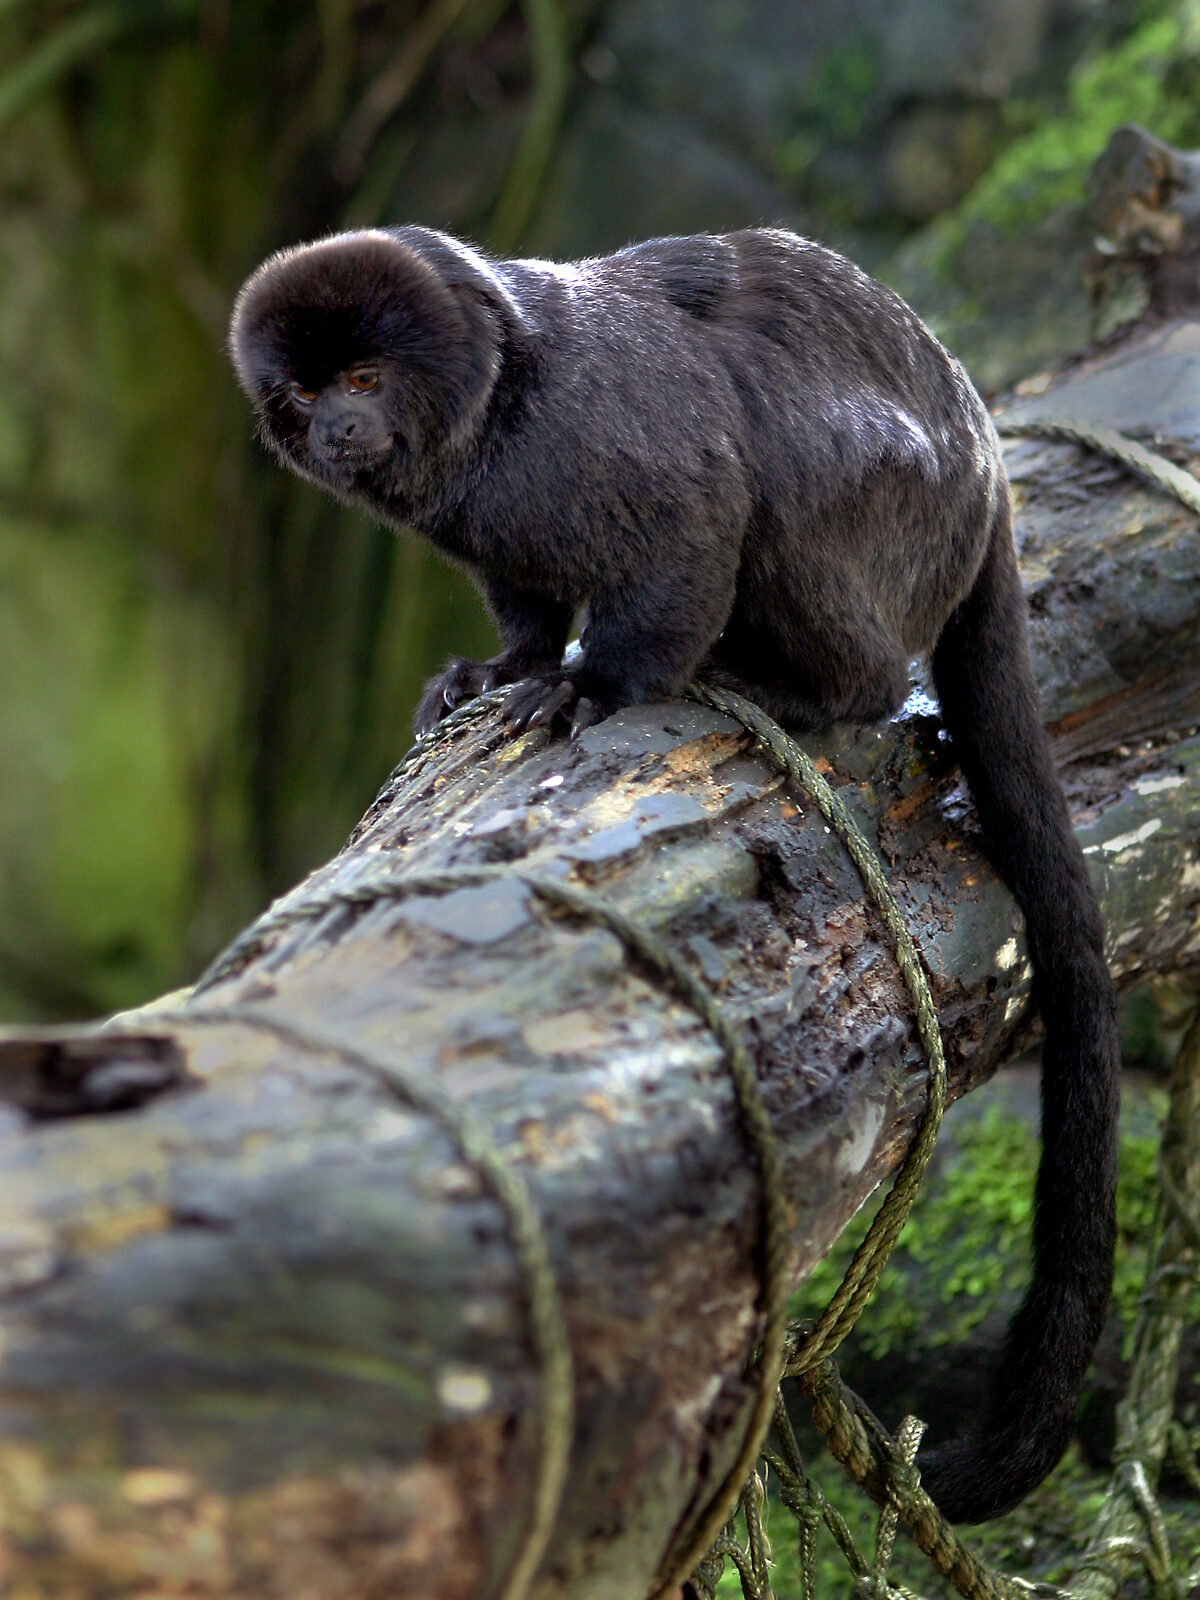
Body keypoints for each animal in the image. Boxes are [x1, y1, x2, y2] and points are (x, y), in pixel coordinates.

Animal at [229, 224, 1119, 1524]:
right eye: (301, 394)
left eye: (362, 379)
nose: (337, 429)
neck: (500, 414)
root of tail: (987, 469)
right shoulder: (492, 519)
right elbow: (527, 597)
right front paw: (508, 665)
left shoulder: (606, 434)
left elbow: (697, 527)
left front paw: (594, 685)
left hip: (899, 517)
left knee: (795, 508)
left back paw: (810, 683)